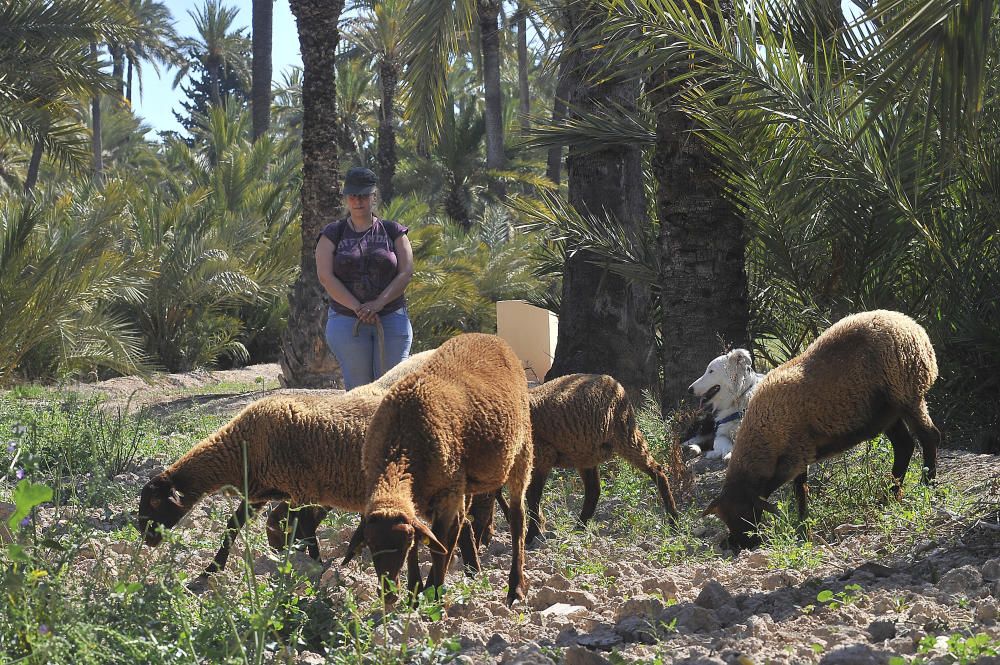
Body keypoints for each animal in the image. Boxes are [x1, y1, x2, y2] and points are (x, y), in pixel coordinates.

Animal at [342, 332, 532, 608]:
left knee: (517, 519)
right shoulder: (424, 501)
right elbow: (429, 544)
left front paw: (434, 594)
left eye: (402, 542)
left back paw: (515, 588)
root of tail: (491, 337)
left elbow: (437, 547)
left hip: (522, 450)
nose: (388, 595)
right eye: (369, 542)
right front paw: (415, 593)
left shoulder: (447, 496)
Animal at [700, 312, 940, 548]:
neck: (764, 436)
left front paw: (802, 527)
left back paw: (927, 484)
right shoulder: (799, 454)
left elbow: (792, 490)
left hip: (907, 393)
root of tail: (913, 326)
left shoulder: (795, 455)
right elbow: (800, 488)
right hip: (886, 413)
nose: (741, 545)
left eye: (742, 512)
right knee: (904, 446)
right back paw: (889, 495)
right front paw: (803, 524)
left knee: (929, 436)